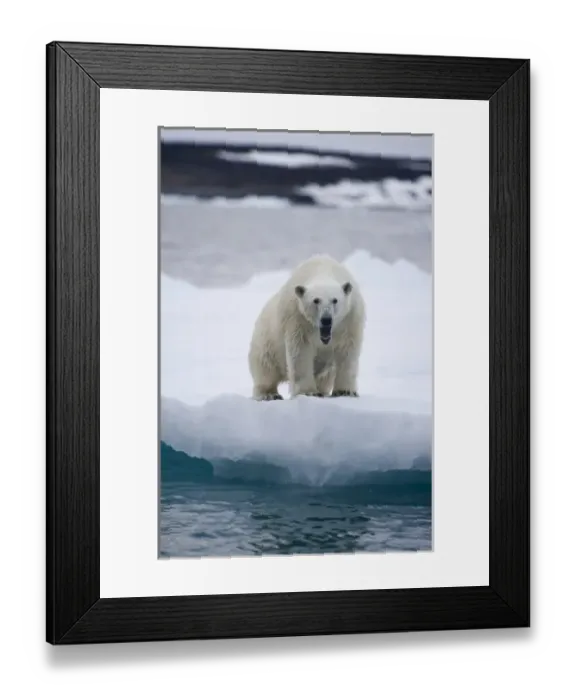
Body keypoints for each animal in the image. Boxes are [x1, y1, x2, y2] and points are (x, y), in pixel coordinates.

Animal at [248, 254, 366, 400]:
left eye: (335, 300)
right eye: (316, 300)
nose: (326, 320)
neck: (323, 269)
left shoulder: (350, 319)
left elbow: (347, 351)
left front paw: (345, 391)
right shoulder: (297, 318)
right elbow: (300, 351)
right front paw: (309, 392)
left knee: (326, 376)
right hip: (266, 342)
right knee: (266, 368)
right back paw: (269, 394)